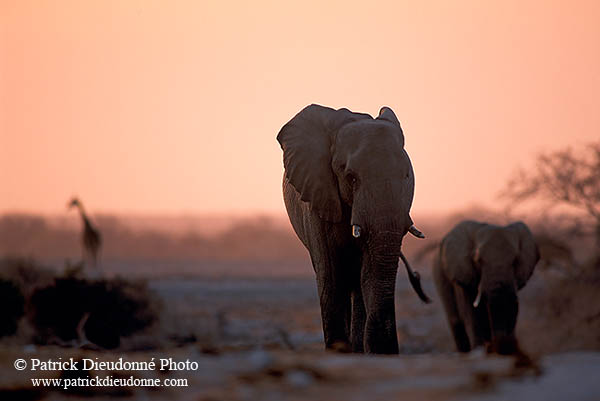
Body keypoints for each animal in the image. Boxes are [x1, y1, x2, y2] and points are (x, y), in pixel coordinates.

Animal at [278, 103, 428, 354]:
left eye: (407, 176)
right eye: (351, 177)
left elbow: (368, 272)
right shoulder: (318, 197)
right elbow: (331, 275)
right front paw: (340, 351)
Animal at [432, 219, 540, 354]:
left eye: (515, 260)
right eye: (478, 260)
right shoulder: (464, 273)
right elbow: (472, 313)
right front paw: (479, 350)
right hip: (440, 275)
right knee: (455, 320)